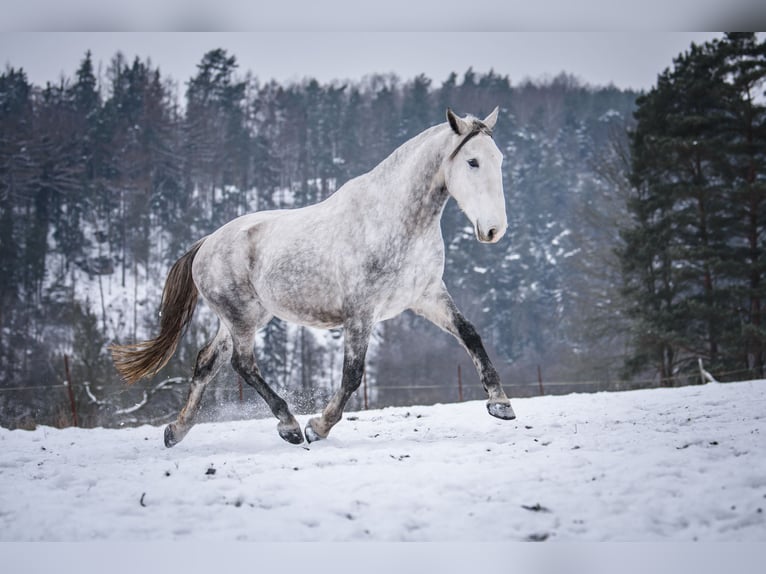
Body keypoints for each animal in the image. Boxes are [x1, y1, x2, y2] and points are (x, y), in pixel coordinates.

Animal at [110, 107, 516, 447]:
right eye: (472, 161)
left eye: (499, 159)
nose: (493, 230)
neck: (395, 221)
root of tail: (207, 242)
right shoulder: (360, 312)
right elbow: (352, 374)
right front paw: (318, 426)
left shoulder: (427, 296)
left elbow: (470, 335)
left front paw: (500, 403)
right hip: (241, 317)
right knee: (242, 364)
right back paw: (289, 424)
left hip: (241, 317)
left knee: (207, 362)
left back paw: (176, 430)